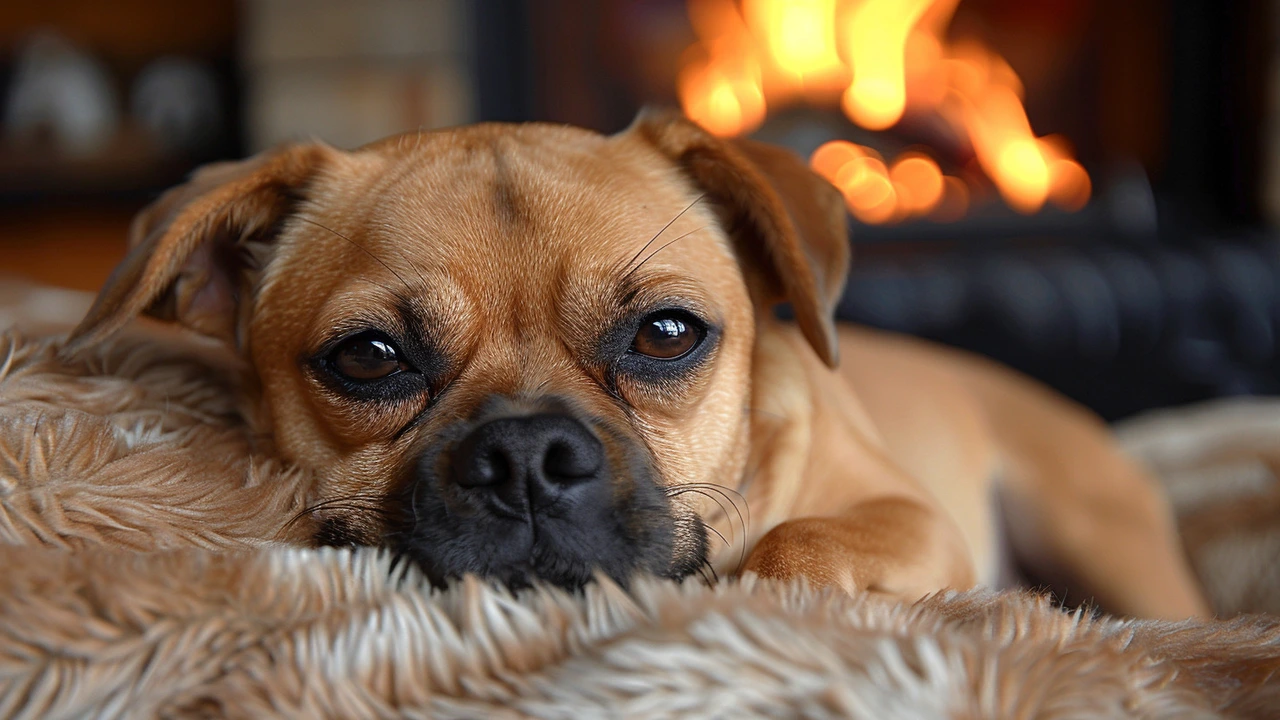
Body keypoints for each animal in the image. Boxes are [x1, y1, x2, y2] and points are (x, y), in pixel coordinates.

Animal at [60, 107, 1213, 617]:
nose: (525, 457)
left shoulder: (910, 518)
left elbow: (797, 545)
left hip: (1097, 533)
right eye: (369, 358)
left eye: (666, 334)